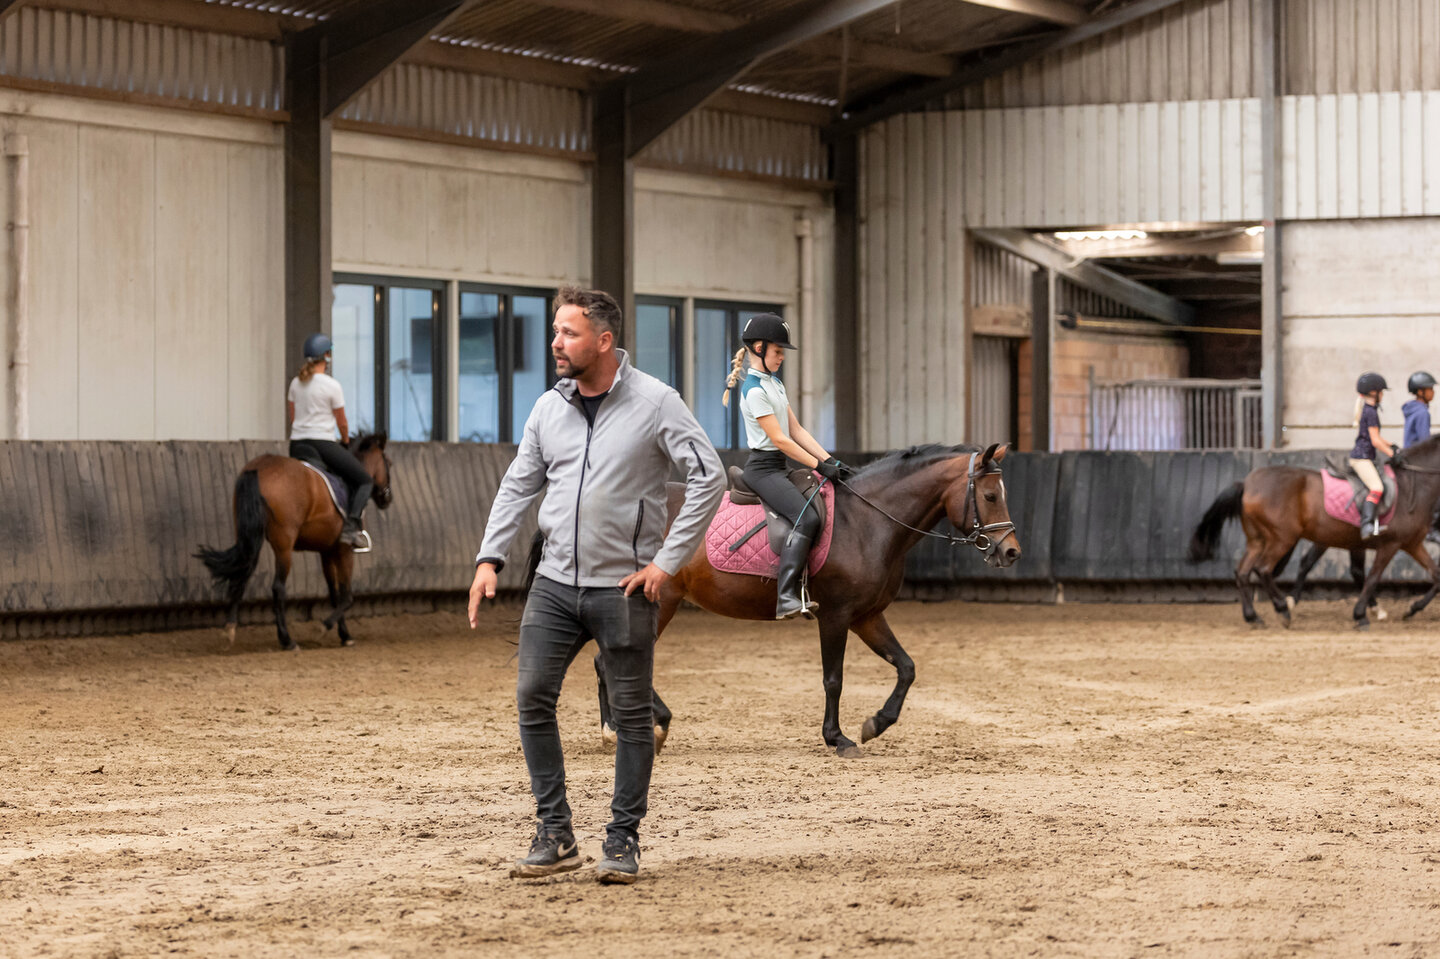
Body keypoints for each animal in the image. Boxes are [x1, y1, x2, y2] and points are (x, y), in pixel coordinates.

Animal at [197, 434, 391, 650]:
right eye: (389, 463)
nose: (387, 498)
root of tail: (259, 467)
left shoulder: (327, 551)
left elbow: (334, 594)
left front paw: (343, 634)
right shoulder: (344, 550)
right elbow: (346, 596)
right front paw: (327, 628)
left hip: (250, 535)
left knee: (242, 574)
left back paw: (230, 629)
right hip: (284, 546)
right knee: (278, 587)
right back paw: (287, 640)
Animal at [590, 440, 1019, 754]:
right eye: (990, 496)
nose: (1011, 552)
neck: (867, 522)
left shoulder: (868, 616)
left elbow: (907, 667)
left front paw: (876, 724)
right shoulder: (836, 615)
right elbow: (834, 679)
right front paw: (838, 738)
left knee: (605, 661)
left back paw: (616, 731)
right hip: (662, 600)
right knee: (613, 661)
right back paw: (647, 725)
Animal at [1186, 434, 1440, 627]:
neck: (1413, 485)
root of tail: (1247, 484)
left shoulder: (1411, 543)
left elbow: (1436, 576)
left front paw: (1412, 609)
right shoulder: (1390, 545)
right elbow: (1371, 577)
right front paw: (1361, 615)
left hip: (1257, 540)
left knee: (1243, 573)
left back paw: (1253, 617)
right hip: (1282, 538)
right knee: (1263, 569)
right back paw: (1282, 609)